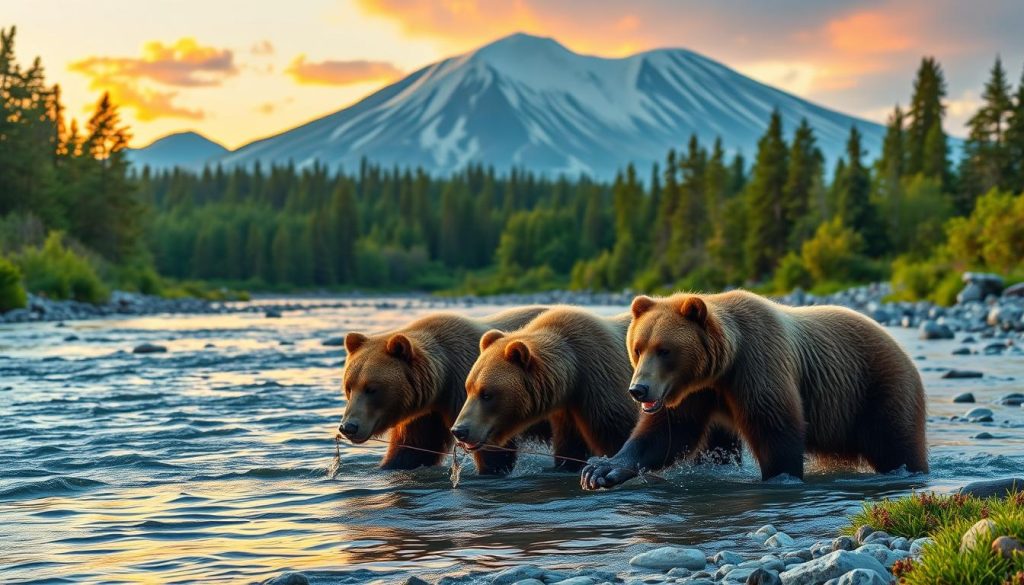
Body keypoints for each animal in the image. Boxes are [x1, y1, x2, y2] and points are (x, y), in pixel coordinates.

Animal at [342, 307, 552, 475]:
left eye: (371, 389)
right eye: (349, 387)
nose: (348, 427)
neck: (442, 381)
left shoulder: (477, 403)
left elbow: (491, 449)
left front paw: (491, 469)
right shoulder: (425, 414)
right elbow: (412, 450)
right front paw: (387, 466)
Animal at [452, 309, 741, 473]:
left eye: (487, 393)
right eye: (468, 387)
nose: (459, 430)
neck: (573, 371)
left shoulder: (601, 385)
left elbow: (620, 436)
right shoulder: (567, 410)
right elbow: (570, 449)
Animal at [585, 288, 929, 489]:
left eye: (664, 350)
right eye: (638, 347)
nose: (639, 390)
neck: (722, 365)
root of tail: (897, 344)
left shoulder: (758, 363)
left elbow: (774, 426)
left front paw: (781, 476)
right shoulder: (693, 392)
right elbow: (666, 434)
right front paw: (602, 469)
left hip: (878, 388)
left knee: (897, 442)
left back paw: (909, 470)